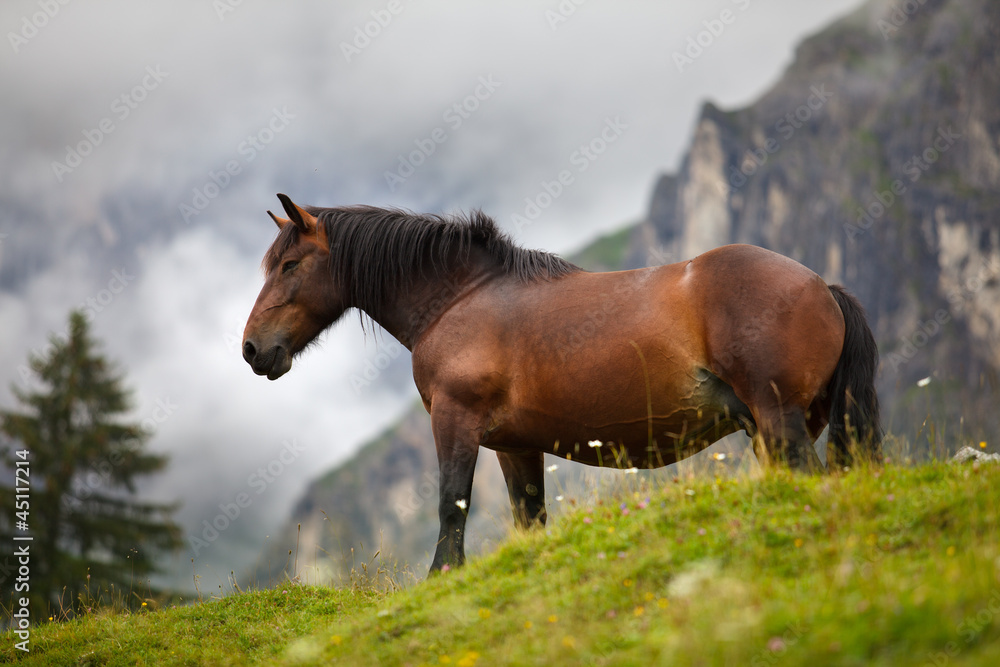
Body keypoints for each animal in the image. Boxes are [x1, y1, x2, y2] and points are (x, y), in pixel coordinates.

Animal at [242, 194, 883, 572]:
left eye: (290, 265)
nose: (253, 349)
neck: (460, 300)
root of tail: (822, 286)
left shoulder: (456, 423)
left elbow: (453, 505)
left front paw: (443, 576)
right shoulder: (515, 446)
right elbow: (529, 520)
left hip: (779, 422)